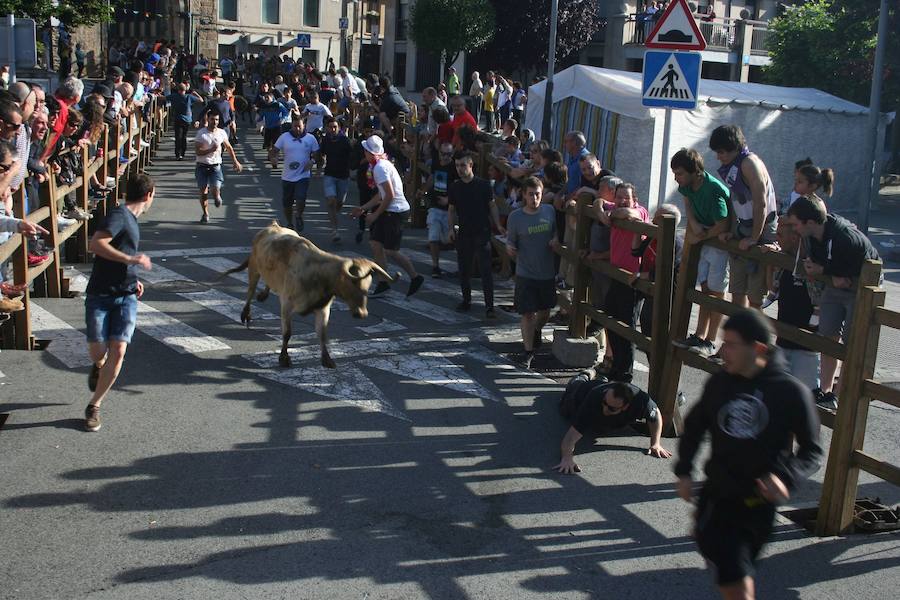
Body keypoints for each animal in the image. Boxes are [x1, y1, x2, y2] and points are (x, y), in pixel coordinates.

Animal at [222, 223, 394, 368]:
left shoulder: (323, 309)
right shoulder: (286, 304)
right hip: (254, 269)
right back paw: (246, 313)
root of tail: (272, 226)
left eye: (368, 286)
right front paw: (284, 358)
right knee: (250, 292)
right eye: (353, 284)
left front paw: (327, 359)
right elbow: (287, 333)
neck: (318, 275)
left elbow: (322, 334)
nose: (362, 313)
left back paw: (263, 295)